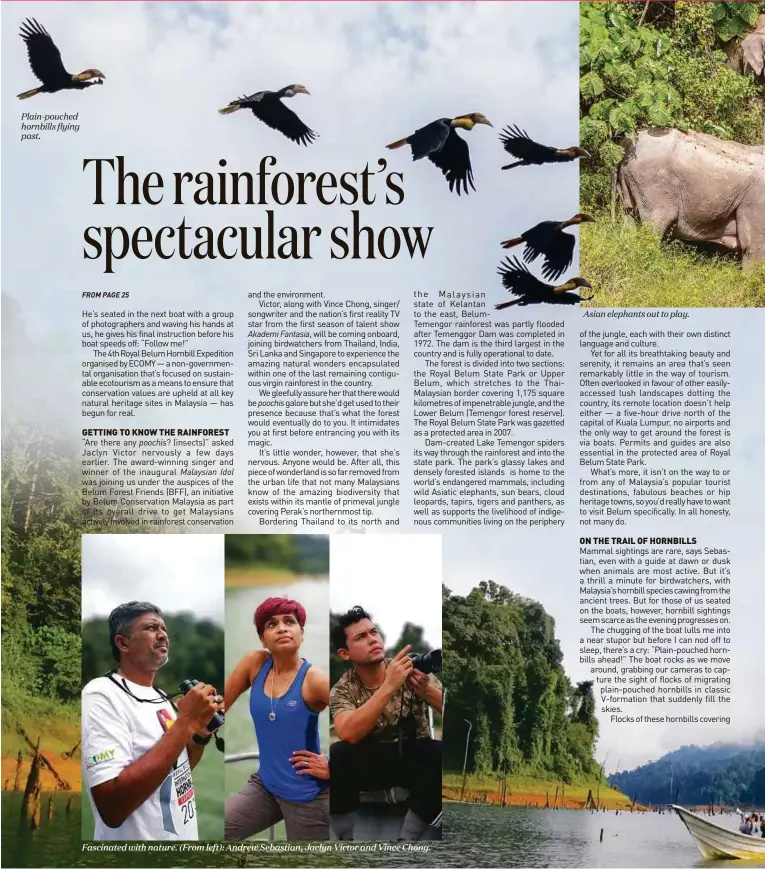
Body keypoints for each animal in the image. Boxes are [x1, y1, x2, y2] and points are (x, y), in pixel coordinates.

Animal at [616, 129, 764, 268]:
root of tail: (628, 145)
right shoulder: (755, 204)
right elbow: (753, 249)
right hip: (653, 187)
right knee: (653, 227)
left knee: (629, 219)